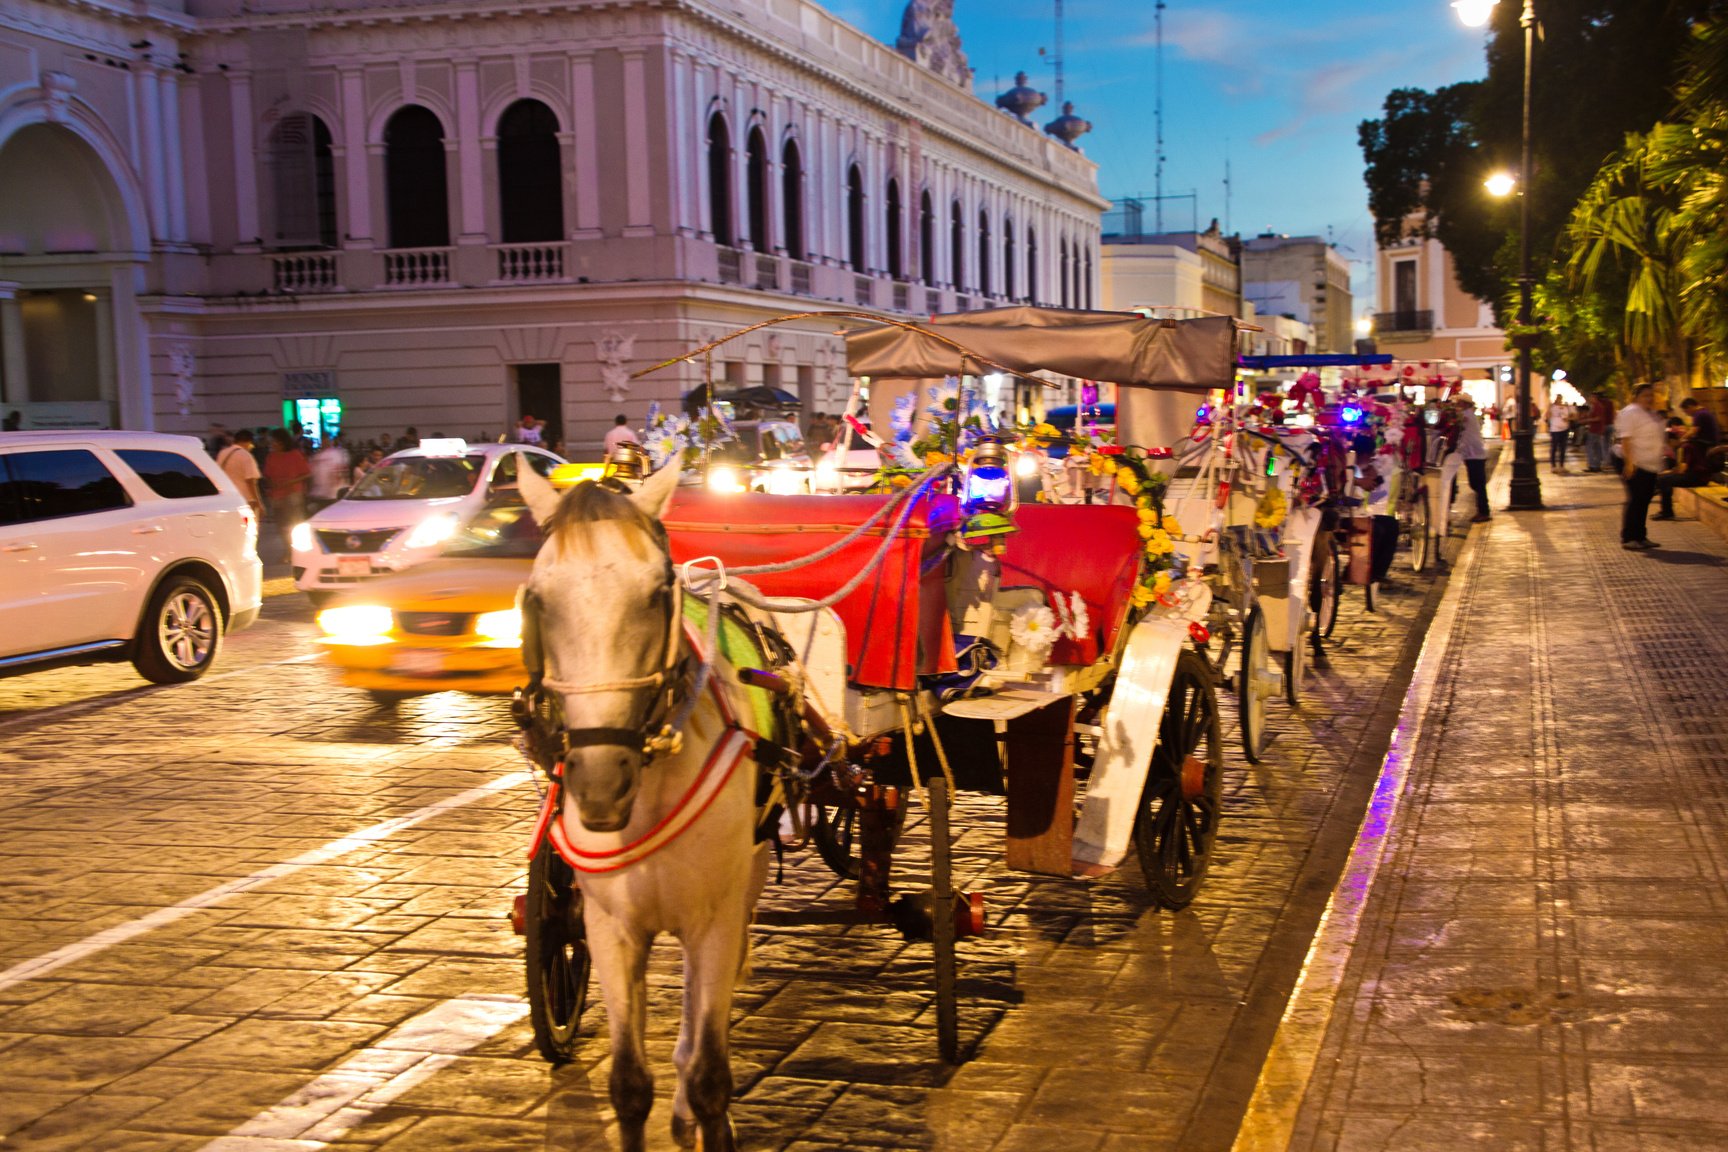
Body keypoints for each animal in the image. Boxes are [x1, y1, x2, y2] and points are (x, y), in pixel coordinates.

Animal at [518, 462, 770, 1152]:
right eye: (537, 600)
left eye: (658, 593)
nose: (601, 782)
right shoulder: (608, 927)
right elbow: (628, 1084)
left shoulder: (714, 919)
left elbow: (712, 1076)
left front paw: (708, 1112)